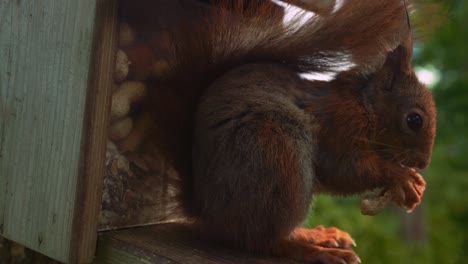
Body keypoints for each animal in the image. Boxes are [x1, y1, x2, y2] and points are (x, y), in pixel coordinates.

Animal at [119, 0, 436, 262]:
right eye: (414, 120)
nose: (423, 163)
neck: (365, 107)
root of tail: (207, 212)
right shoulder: (339, 126)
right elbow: (346, 168)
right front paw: (401, 176)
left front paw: (415, 182)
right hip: (277, 156)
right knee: (261, 240)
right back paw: (312, 251)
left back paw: (316, 235)